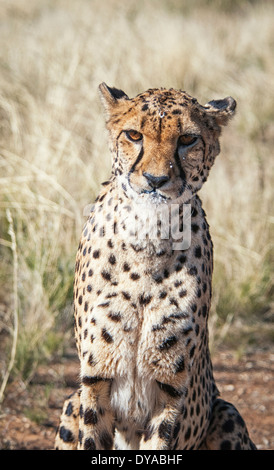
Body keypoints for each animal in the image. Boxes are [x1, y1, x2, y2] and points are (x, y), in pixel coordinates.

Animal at [55, 82, 256, 450]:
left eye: (187, 139)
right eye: (134, 135)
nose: (155, 179)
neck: (147, 237)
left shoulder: (170, 391)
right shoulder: (95, 380)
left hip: (227, 412)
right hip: (71, 402)